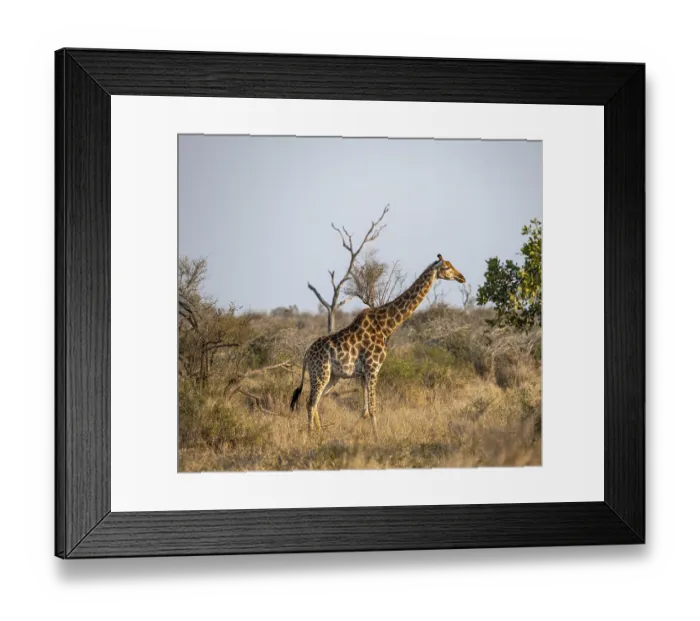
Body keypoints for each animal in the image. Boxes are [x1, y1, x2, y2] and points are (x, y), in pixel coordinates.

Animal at [290, 254, 466, 436]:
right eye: (446, 267)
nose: (462, 277)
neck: (386, 326)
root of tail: (306, 354)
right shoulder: (373, 369)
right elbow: (373, 409)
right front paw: (378, 437)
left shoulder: (363, 374)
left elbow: (365, 411)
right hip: (320, 373)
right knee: (310, 403)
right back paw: (312, 435)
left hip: (333, 376)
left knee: (315, 401)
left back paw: (320, 433)